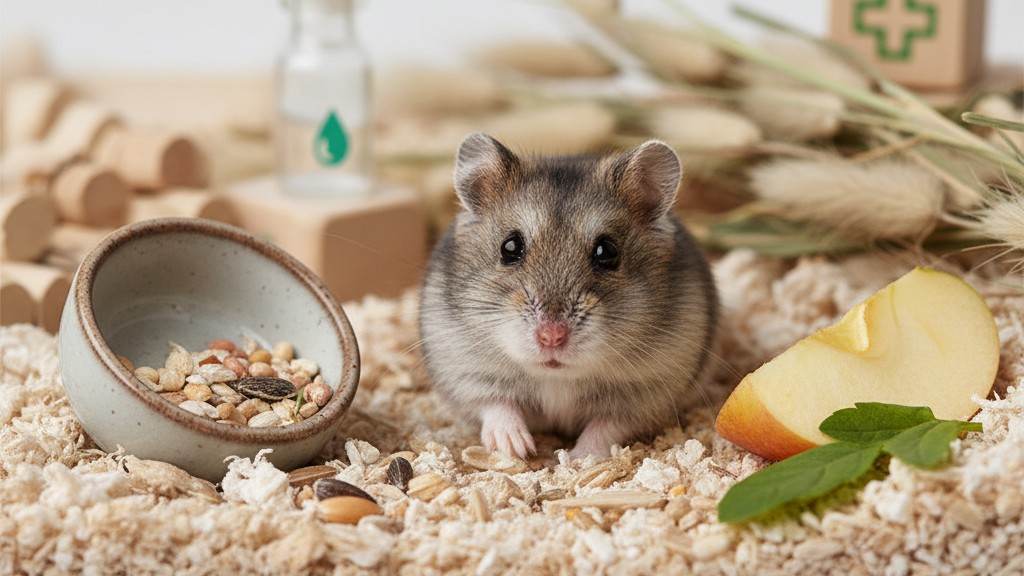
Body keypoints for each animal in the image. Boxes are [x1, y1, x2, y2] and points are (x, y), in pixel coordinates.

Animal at [419, 132, 718, 459]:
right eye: (509, 247)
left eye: (607, 252)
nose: (551, 337)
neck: (556, 377)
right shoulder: (465, 371)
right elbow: (496, 404)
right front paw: (516, 447)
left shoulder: (647, 392)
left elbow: (605, 426)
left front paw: (578, 459)